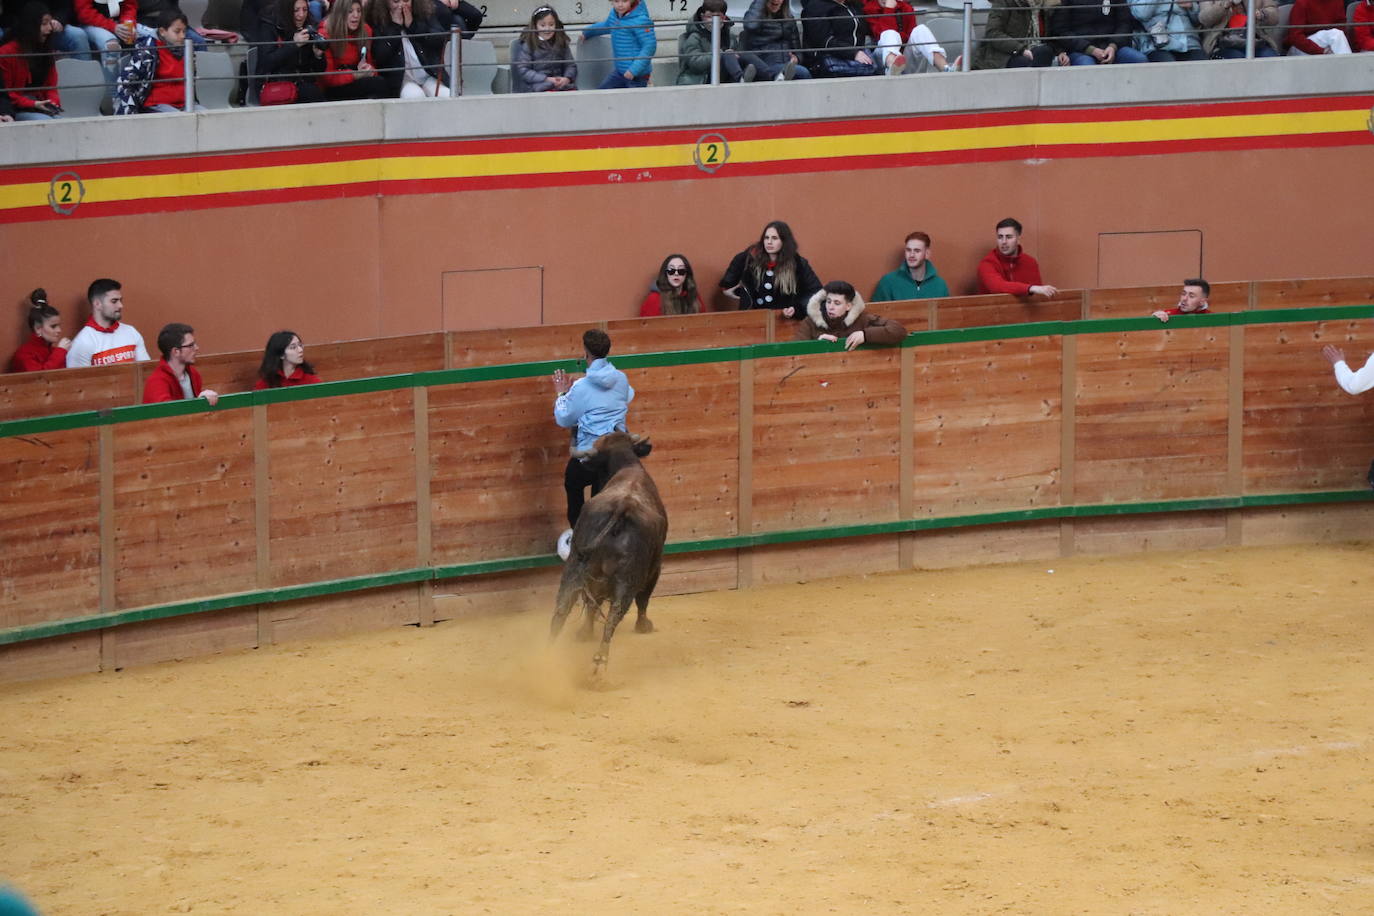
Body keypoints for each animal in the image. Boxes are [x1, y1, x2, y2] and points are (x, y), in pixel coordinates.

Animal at [552, 433, 670, 678]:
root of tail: (621, 508)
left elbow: (591, 602)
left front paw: (585, 632)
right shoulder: (655, 567)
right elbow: (644, 599)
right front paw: (644, 626)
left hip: (574, 566)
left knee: (562, 608)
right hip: (628, 578)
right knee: (615, 613)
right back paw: (600, 662)